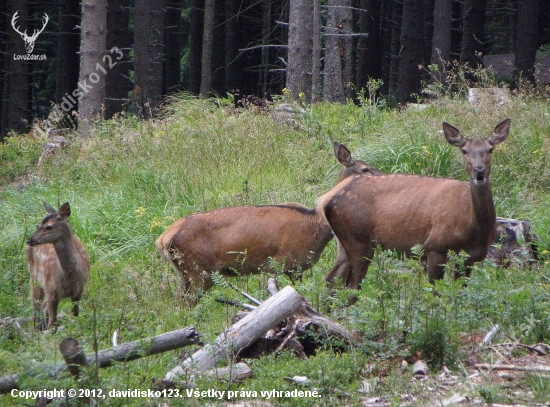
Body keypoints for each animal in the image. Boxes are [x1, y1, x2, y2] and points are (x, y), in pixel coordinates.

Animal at [27, 202, 90, 330]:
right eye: (38, 225)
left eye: (49, 227)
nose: (29, 240)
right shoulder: (51, 290)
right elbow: (52, 322)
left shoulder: (79, 290)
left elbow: (75, 314)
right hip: (34, 277)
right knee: (36, 305)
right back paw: (36, 328)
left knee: (42, 306)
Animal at [157, 143, 386, 302]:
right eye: (365, 169)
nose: (386, 176)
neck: (315, 224)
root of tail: (162, 239)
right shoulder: (288, 263)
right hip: (198, 271)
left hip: (185, 274)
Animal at [320, 118, 512, 290]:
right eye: (464, 150)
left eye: (490, 149)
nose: (479, 171)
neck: (473, 227)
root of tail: (325, 199)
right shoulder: (435, 247)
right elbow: (435, 293)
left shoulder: (470, 258)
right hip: (358, 240)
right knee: (350, 288)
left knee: (333, 281)